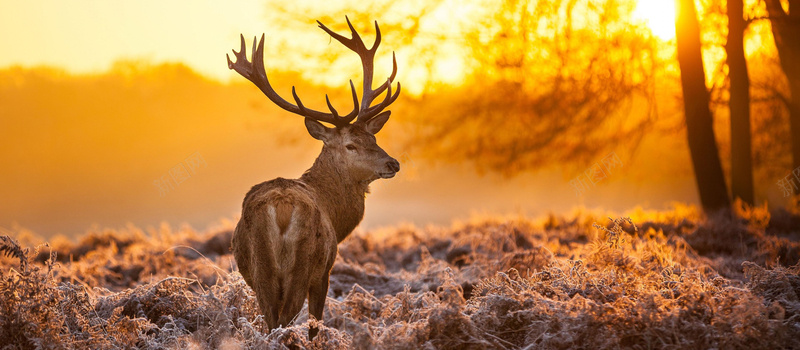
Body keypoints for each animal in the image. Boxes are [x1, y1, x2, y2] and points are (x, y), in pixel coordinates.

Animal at [225, 17, 400, 338]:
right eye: (351, 145)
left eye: (373, 137)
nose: (393, 163)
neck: (335, 213)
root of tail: (281, 207)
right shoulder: (325, 271)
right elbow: (316, 324)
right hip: (304, 263)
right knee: (286, 319)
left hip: (260, 269)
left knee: (271, 319)